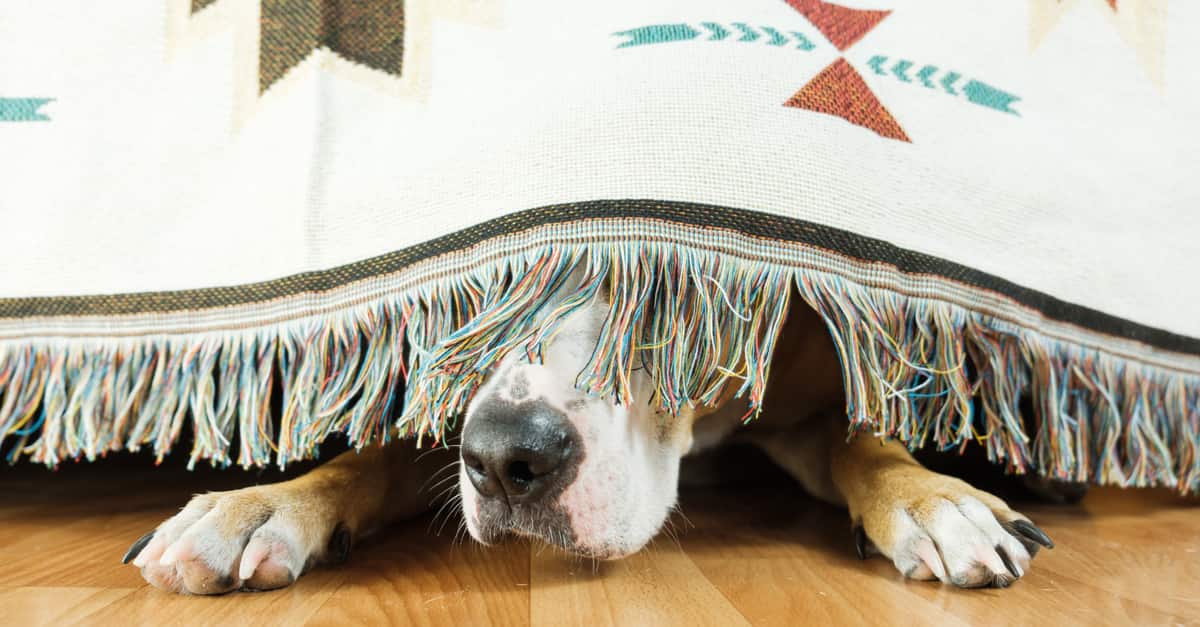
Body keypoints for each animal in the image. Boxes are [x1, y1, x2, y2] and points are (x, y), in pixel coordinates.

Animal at [121, 273, 1056, 590]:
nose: (506, 458)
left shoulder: (810, 397)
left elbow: (869, 441)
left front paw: (935, 501)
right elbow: (370, 457)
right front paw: (259, 505)